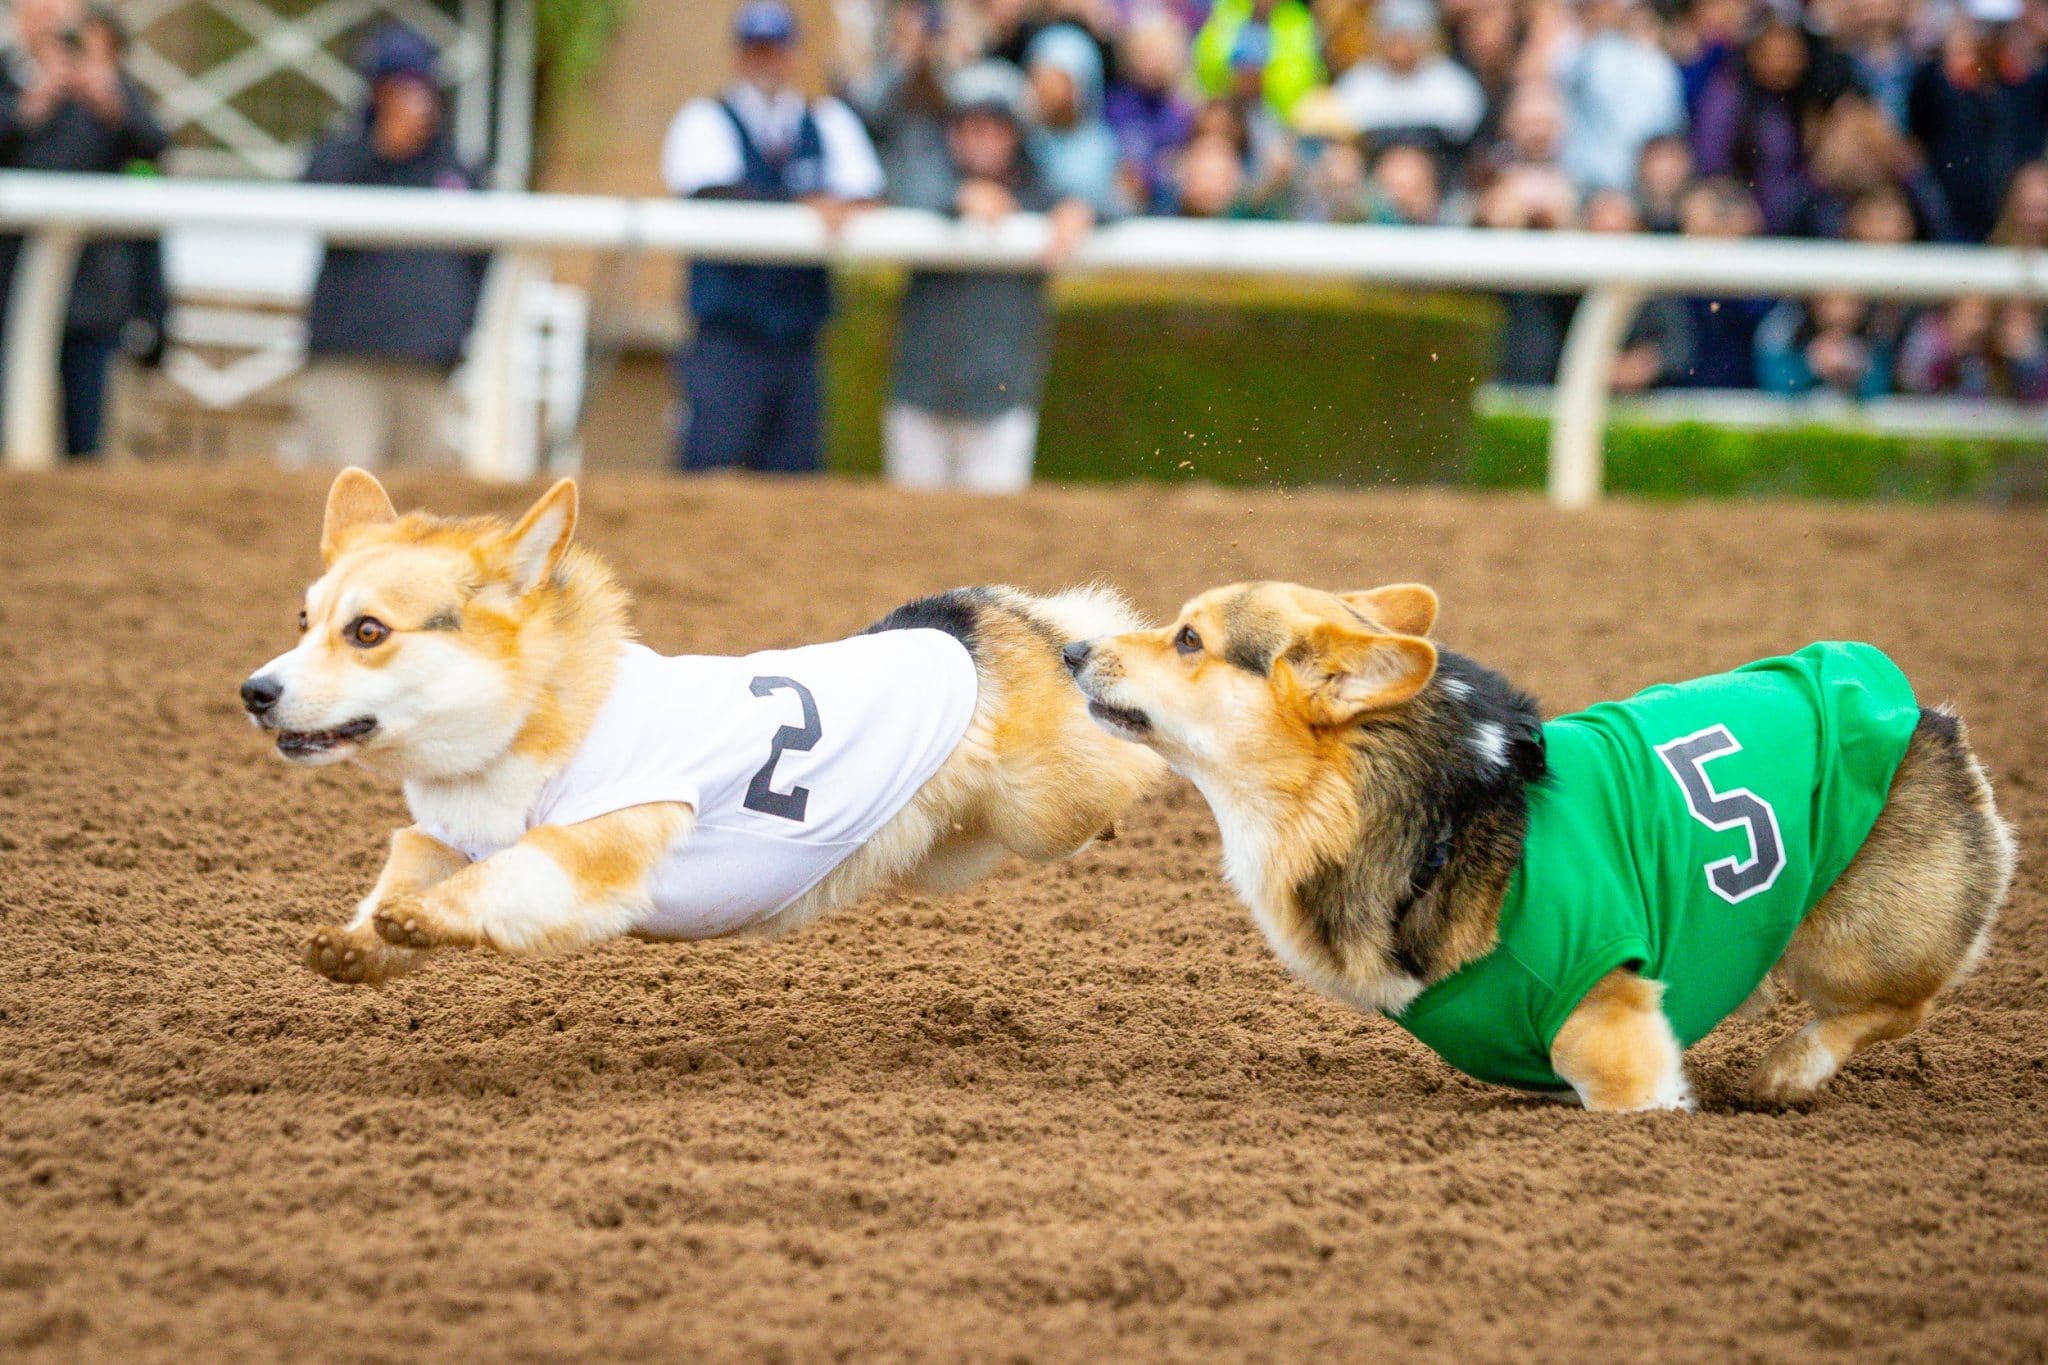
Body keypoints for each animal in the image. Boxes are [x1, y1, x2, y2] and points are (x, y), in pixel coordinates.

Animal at [245, 470, 1163, 982]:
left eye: (368, 631)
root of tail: (978, 612)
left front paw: (424, 919)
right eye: (304, 620)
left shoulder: (588, 859)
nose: (254, 691)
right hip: (950, 848)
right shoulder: (435, 836)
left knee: (1115, 764)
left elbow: (496, 881)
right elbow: (401, 879)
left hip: (1044, 811)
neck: (537, 723)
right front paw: (359, 943)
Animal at [1064, 581, 2023, 1113]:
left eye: (1190, 639)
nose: (1070, 647)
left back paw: (1787, 1071)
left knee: (1900, 1004)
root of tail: (1921, 715)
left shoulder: (1605, 1012)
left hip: (1848, 942)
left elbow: (1610, 1074)